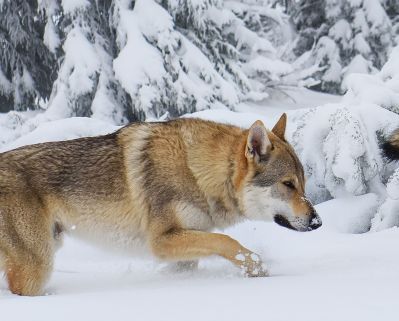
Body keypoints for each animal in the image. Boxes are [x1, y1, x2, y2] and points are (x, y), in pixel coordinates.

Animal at [0, 113, 322, 296]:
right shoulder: (162, 240)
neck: (197, 172)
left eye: (303, 184)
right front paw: (258, 270)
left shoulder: (184, 247)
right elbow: (227, 241)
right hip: (38, 267)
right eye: (288, 184)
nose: (317, 222)